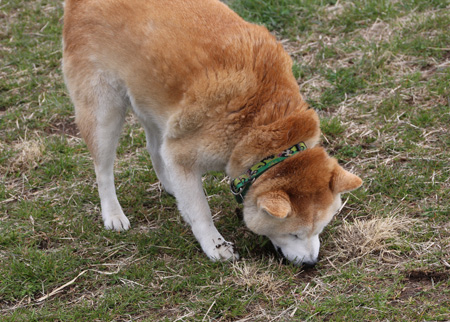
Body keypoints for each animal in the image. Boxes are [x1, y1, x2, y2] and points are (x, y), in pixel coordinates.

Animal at [62, 0, 362, 266]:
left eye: (319, 229)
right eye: (295, 234)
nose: (312, 263)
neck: (262, 122)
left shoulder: (178, 143)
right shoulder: (183, 154)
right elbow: (200, 211)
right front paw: (215, 245)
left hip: (155, 104)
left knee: (154, 148)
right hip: (104, 111)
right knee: (103, 169)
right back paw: (113, 214)